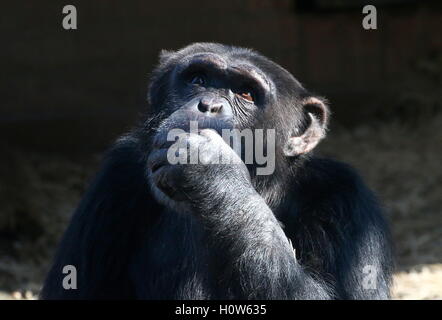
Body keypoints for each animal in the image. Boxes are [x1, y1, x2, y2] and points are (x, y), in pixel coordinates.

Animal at [41, 42, 394, 300]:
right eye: (197, 79)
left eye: (246, 93)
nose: (208, 105)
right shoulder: (116, 177)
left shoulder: (346, 200)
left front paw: (213, 170)